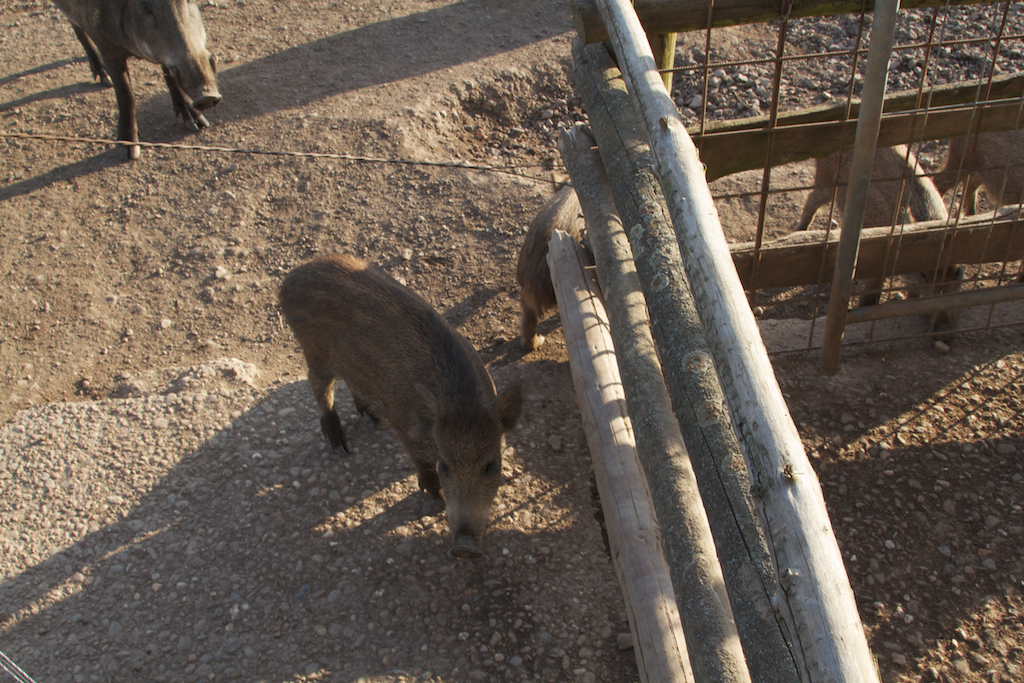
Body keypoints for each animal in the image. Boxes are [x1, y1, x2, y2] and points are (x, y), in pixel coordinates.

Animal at [53, 0, 221, 160]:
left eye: (189, 1)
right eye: (147, 8)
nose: (207, 96)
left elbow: (171, 79)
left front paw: (198, 124)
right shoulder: (106, 46)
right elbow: (126, 94)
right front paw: (129, 152)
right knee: (76, 27)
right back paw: (105, 79)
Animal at [279, 254, 522, 559]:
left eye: (491, 466)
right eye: (445, 467)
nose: (464, 548)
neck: (462, 402)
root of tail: (291, 278)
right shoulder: (404, 428)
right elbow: (422, 465)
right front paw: (436, 500)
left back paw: (370, 416)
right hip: (314, 352)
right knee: (319, 389)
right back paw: (341, 446)